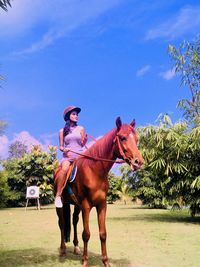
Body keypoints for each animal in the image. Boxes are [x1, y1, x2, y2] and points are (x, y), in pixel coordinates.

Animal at [55, 117, 144, 267]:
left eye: (136, 139)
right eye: (122, 137)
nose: (139, 162)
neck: (94, 170)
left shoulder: (102, 205)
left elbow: (103, 234)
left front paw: (106, 262)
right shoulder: (86, 206)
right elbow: (86, 234)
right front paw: (85, 261)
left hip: (75, 205)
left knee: (73, 221)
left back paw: (76, 248)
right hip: (61, 204)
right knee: (61, 224)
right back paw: (62, 250)